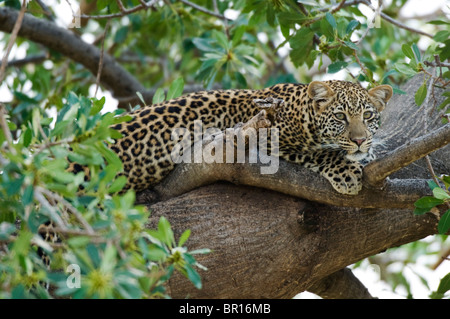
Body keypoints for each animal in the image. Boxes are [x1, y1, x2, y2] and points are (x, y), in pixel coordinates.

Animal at [96, 79, 392, 195]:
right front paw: (347, 172)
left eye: (367, 115)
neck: (301, 113)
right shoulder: (270, 140)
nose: (359, 140)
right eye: (340, 116)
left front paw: (368, 151)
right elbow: (319, 152)